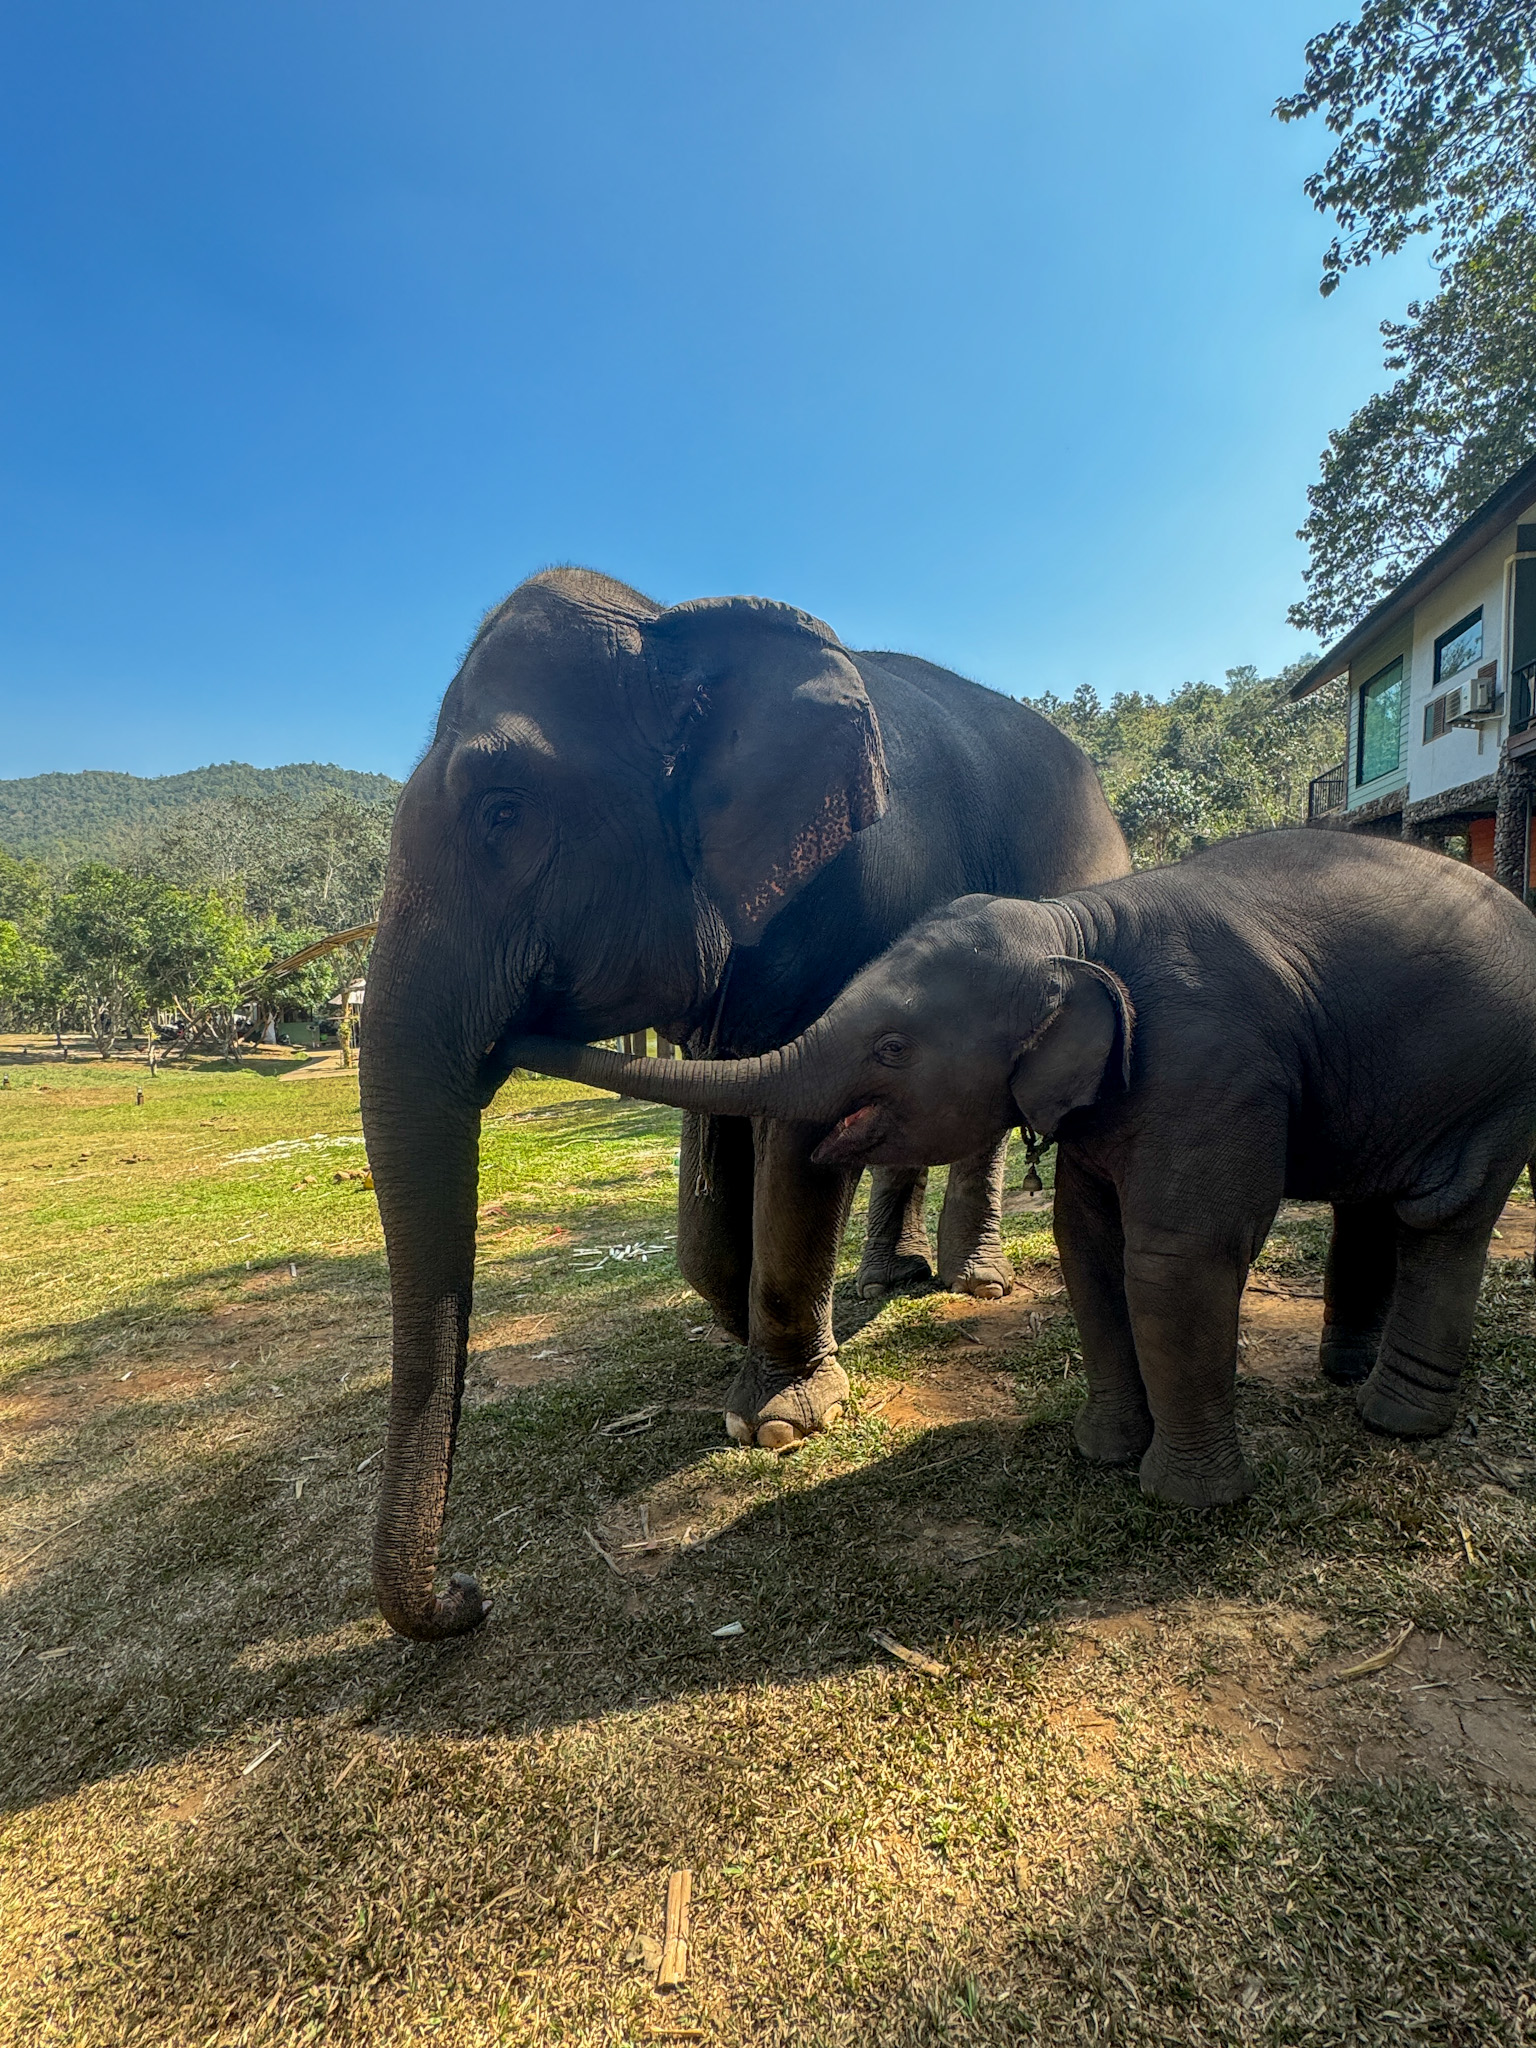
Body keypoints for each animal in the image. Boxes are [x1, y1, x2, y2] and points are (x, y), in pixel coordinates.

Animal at [361, 568, 1127, 1638]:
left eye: (502, 810)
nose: (466, 1596)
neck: (671, 624)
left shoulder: (845, 906)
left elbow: (799, 1126)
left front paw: (778, 1421)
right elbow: (717, 1128)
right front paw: (741, 1328)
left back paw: (973, 1283)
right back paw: (888, 1278)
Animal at [512, 828, 1536, 1510]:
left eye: (890, 1048)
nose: (516, 1021)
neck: (1078, 925)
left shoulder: (1213, 1066)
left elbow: (1176, 1258)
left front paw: (1190, 1503)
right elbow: (1086, 1246)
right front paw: (1101, 1454)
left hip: (1498, 1089)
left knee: (1445, 1217)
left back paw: (1396, 1420)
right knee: (1375, 1206)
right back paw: (1344, 1374)